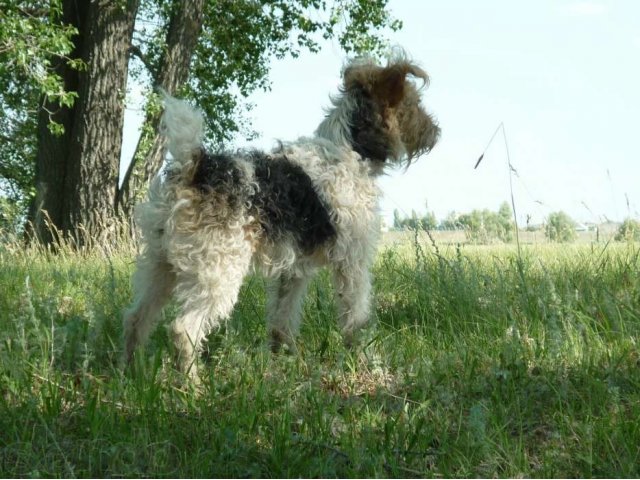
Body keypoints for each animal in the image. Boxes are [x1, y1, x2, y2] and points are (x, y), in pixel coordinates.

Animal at [121, 50, 440, 376]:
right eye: (414, 102)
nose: (435, 132)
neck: (350, 149)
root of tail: (195, 166)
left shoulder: (294, 268)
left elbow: (282, 319)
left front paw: (284, 360)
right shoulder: (353, 260)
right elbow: (357, 317)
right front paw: (368, 362)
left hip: (160, 264)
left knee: (136, 319)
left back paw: (129, 374)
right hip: (217, 271)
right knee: (183, 329)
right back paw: (192, 385)